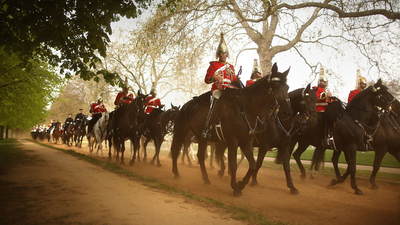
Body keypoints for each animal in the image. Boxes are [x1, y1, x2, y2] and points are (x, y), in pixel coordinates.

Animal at [170, 62, 292, 196]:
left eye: (287, 87)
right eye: (275, 86)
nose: (287, 112)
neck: (245, 109)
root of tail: (186, 105)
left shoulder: (246, 143)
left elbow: (253, 165)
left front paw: (241, 183)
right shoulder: (233, 142)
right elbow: (233, 165)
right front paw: (235, 187)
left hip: (202, 138)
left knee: (200, 156)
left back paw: (206, 179)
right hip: (181, 131)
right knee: (176, 149)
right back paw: (176, 173)